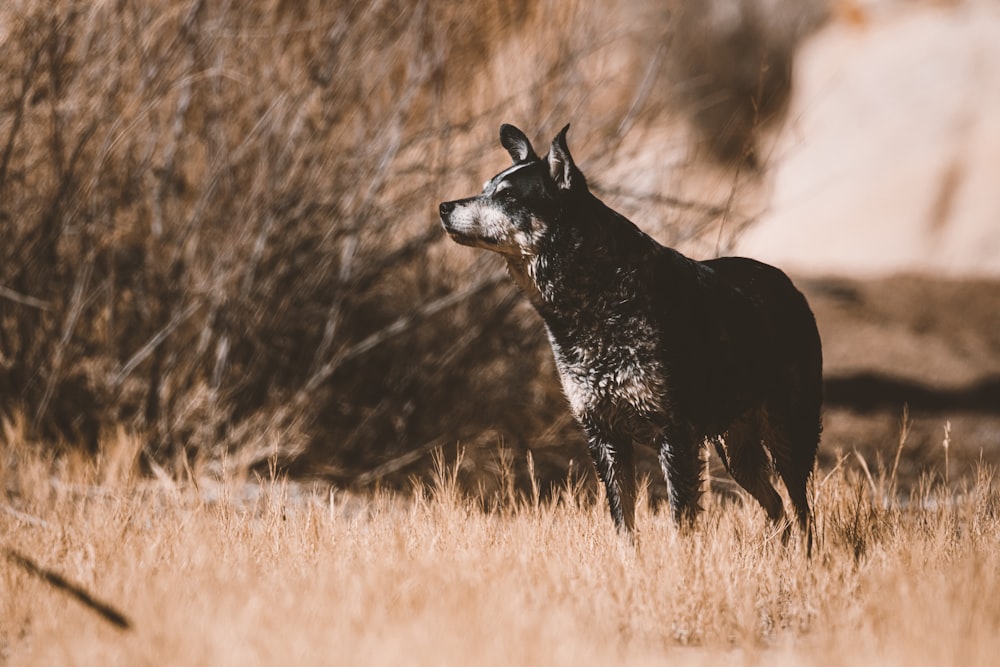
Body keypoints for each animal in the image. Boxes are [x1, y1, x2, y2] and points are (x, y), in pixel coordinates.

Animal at [442, 125, 824, 548]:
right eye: (485, 188)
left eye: (508, 195)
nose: (444, 207)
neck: (596, 298)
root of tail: (787, 284)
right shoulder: (604, 436)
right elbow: (624, 524)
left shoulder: (675, 436)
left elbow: (681, 523)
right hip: (735, 447)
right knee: (776, 504)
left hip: (789, 430)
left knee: (801, 507)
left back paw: (806, 556)